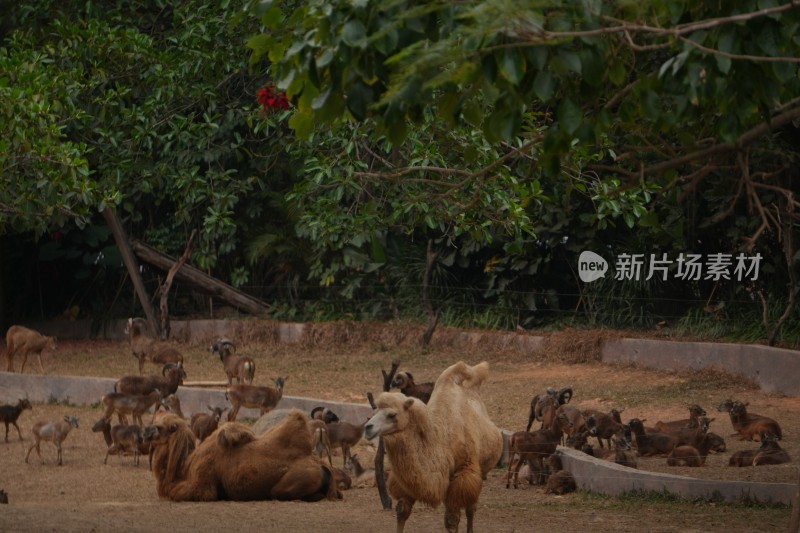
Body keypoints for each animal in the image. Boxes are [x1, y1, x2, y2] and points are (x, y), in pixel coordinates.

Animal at [142, 410, 340, 500]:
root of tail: (323, 466)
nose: (145, 433)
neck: (185, 465)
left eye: (158, 427)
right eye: (155, 422)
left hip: (291, 483)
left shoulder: (202, 484)